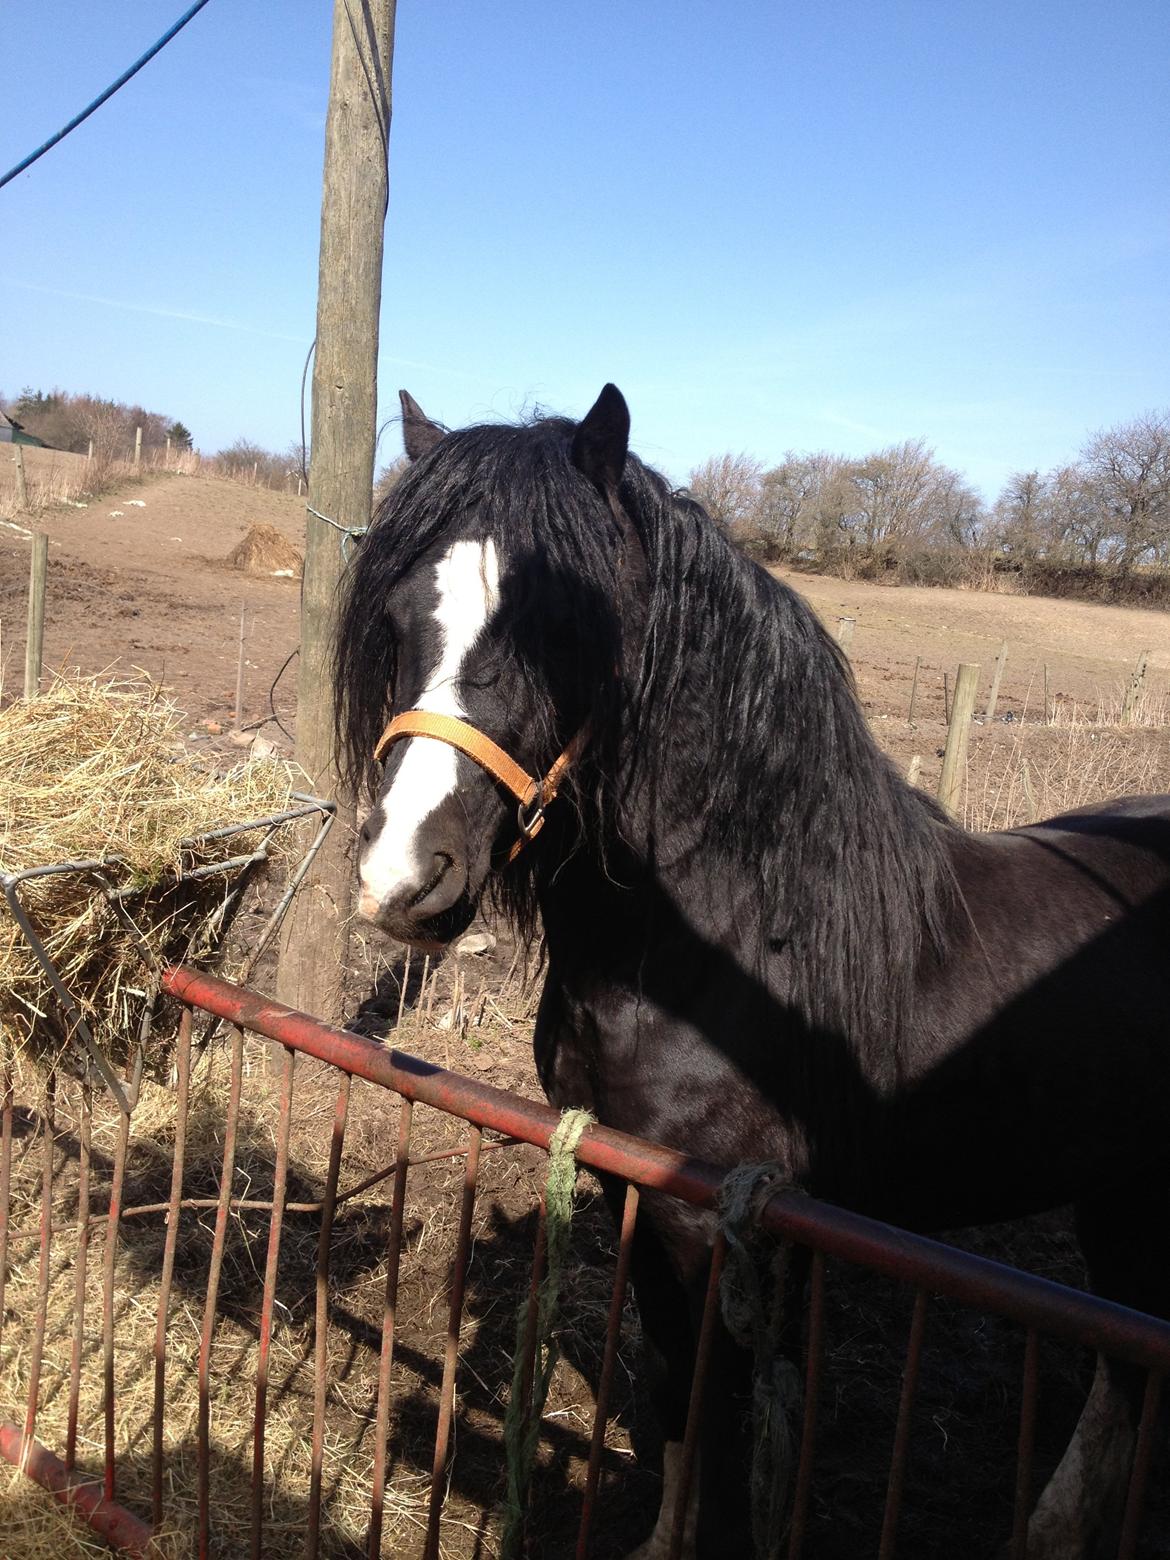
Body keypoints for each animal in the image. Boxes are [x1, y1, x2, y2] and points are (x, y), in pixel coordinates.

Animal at [338, 383, 1170, 1553]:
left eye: (565, 627)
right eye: (406, 614)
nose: (402, 875)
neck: (724, 951)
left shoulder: (718, 1226)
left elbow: (718, 1397)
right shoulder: (631, 1190)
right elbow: (674, 1383)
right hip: (1121, 1189)